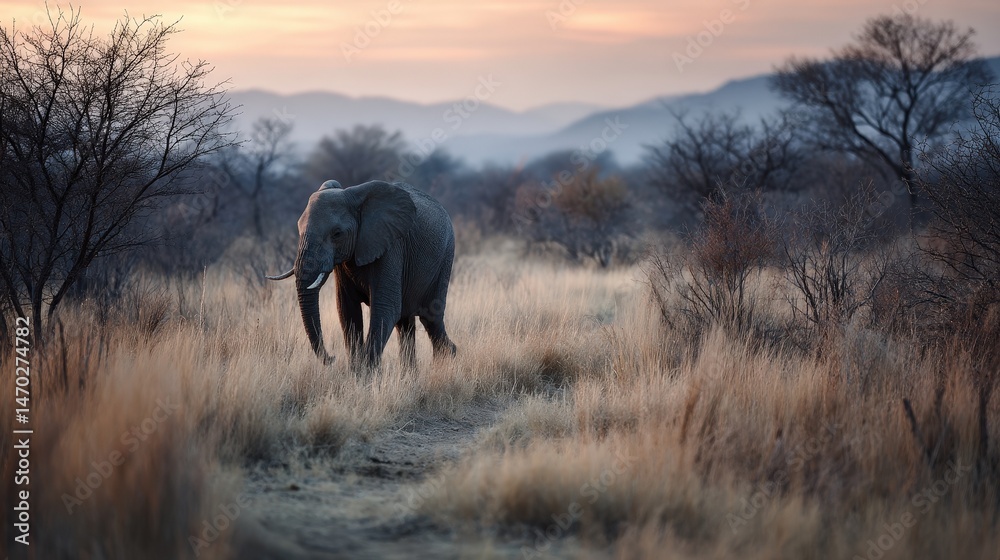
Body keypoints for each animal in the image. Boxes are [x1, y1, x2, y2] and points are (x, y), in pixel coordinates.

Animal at [267, 179, 457, 367]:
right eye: (298, 229)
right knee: (405, 323)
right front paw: (356, 370)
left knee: (430, 318)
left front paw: (365, 370)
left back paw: (447, 359)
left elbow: (385, 308)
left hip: (445, 258)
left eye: (337, 234)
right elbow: (347, 309)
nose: (332, 358)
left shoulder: (390, 247)